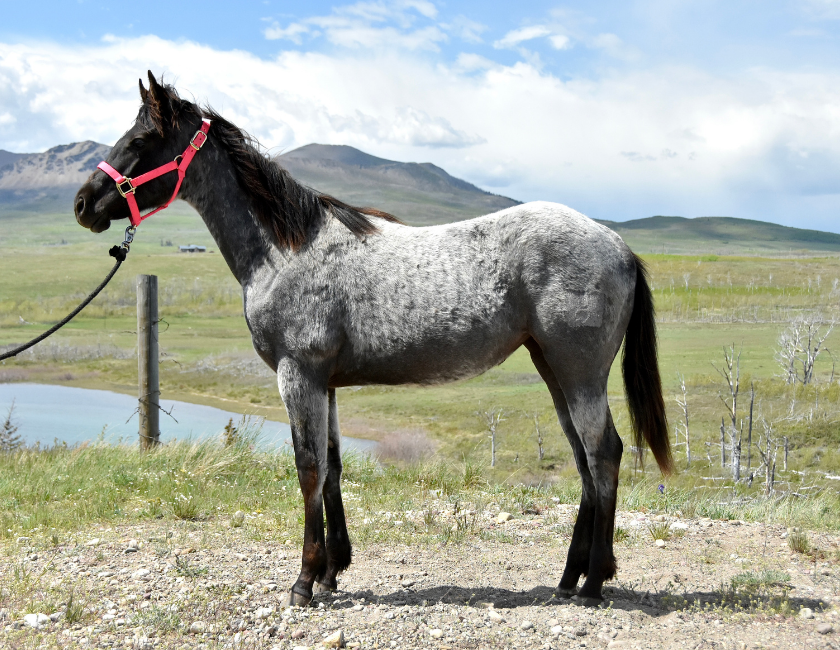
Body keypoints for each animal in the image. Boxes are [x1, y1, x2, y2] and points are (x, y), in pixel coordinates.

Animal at [74, 71, 672, 607]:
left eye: (140, 141)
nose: (83, 203)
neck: (286, 248)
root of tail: (618, 243)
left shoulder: (299, 375)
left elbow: (308, 468)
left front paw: (304, 582)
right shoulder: (325, 384)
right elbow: (332, 466)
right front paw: (332, 571)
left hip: (579, 374)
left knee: (604, 455)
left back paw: (594, 582)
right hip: (554, 371)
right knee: (585, 462)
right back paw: (569, 579)